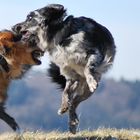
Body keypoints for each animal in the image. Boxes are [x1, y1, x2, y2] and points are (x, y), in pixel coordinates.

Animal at [12, 4, 116, 133]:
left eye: (30, 18)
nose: (13, 27)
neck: (60, 37)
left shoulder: (94, 53)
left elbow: (88, 68)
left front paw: (91, 81)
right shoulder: (70, 75)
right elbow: (65, 92)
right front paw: (64, 105)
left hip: (87, 91)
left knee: (76, 101)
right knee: (73, 102)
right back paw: (71, 121)